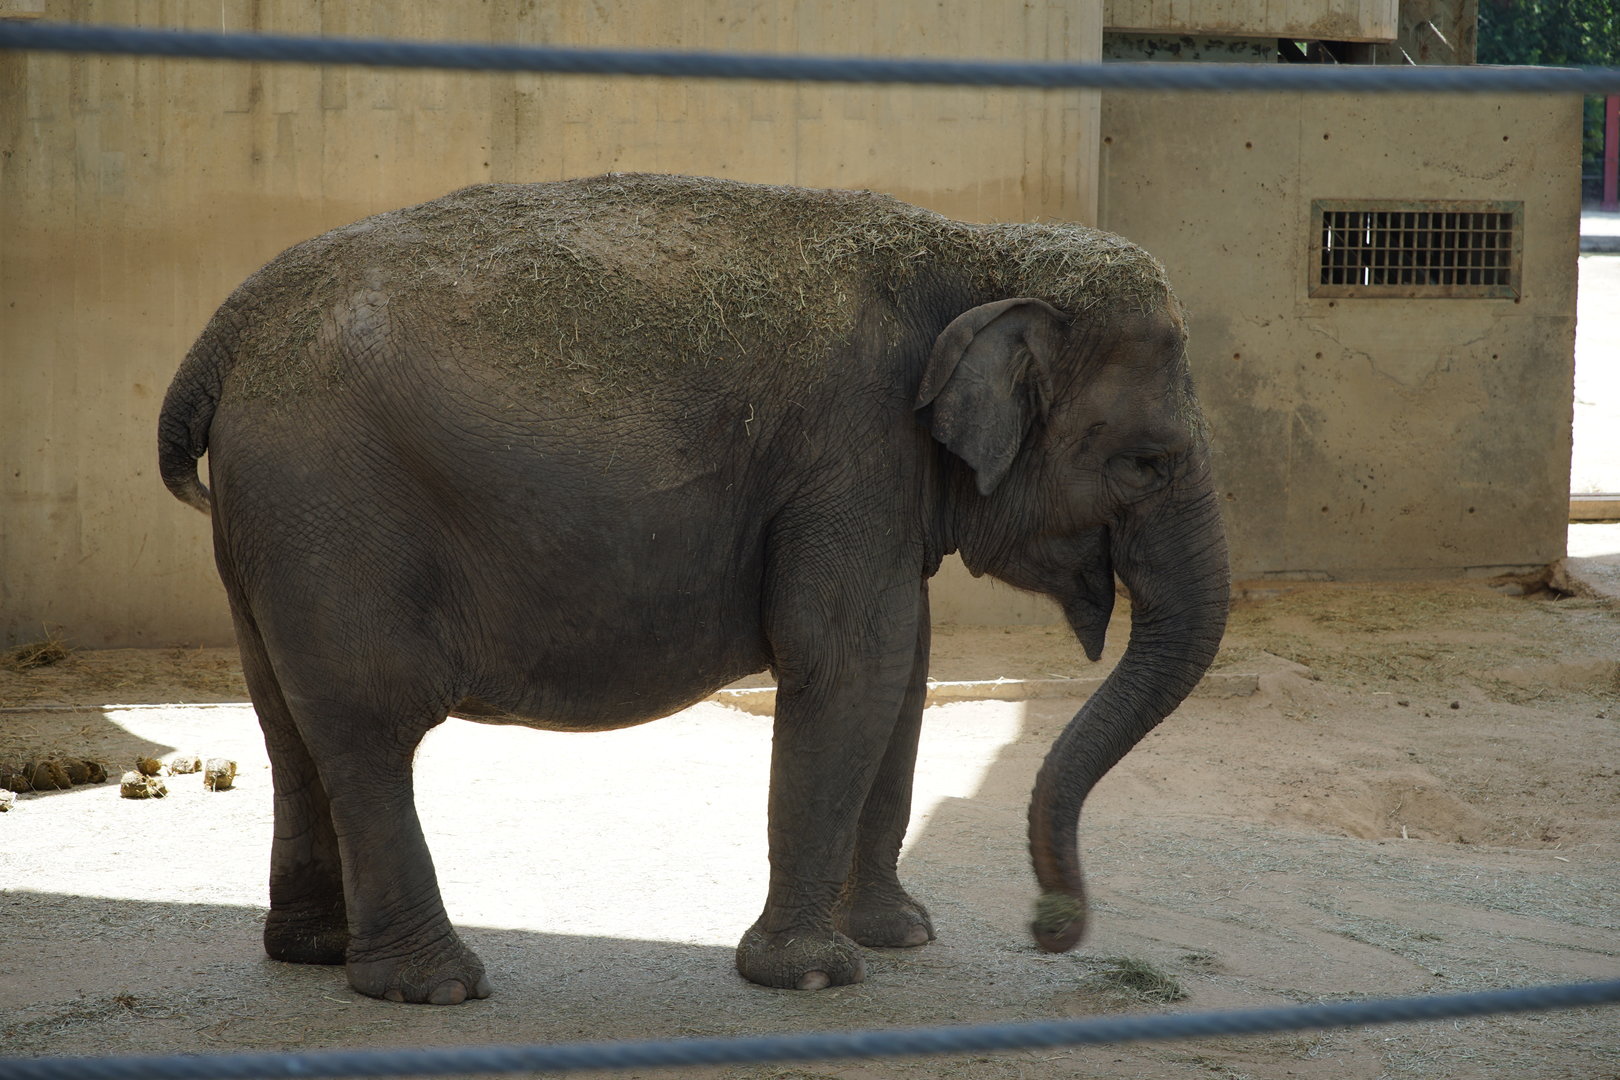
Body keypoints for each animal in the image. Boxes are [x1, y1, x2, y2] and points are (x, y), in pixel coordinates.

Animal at [158, 173, 1228, 1005]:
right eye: (1147, 462)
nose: (1052, 927)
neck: (978, 253)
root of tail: (224, 335)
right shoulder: (850, 444)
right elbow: (850, 661)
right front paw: (813, 975)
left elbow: (904, 666)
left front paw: (901, 937)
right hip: (330, 511)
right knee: (370, 722)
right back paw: (435, 986)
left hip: (266, 528)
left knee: (289, 722)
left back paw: (314, 951)